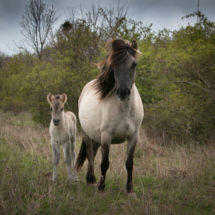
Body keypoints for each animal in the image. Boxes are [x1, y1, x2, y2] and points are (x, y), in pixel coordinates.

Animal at [76, 38, 144, 197]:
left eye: (134, 64)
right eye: (115, 65)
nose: (123, 92)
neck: (125, 110)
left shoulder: (133, 137)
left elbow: (129, 163)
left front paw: (130, 190)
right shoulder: (106, 136)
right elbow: (105, 163)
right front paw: (101, 188)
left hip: (96, 137)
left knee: (94, 152)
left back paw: (91, 179)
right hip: (87, 134)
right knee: (90, 153)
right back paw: (92, 180)